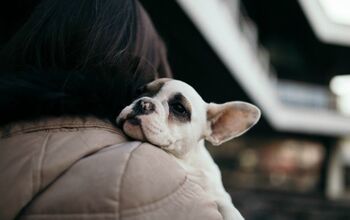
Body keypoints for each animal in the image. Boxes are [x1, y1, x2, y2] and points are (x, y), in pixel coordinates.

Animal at [117, 78, 260, 219]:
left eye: (179, 108)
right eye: (138, 92)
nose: (144, 103)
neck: (186, 161)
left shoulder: (221, 196)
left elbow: (230, 210)